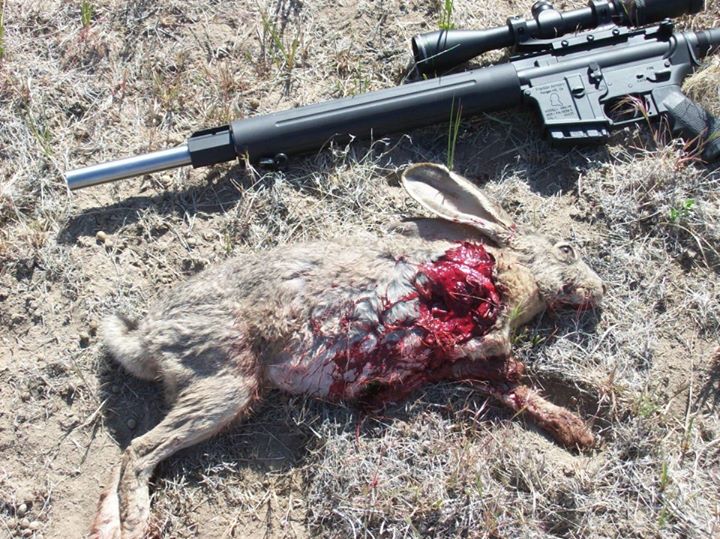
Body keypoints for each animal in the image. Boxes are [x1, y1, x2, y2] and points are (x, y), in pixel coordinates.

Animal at [90, 163, 605, 539]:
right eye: (566, 248)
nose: (598, 291)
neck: (508, 271)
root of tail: (146, 338)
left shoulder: (471, 365)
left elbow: (514, 392)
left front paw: (579, 434)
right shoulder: (476, 332)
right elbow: (506, 368)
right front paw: (581, 431)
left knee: (125, 458)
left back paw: (107, 527)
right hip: (225, 384)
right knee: (139, 450)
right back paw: (134, 523)